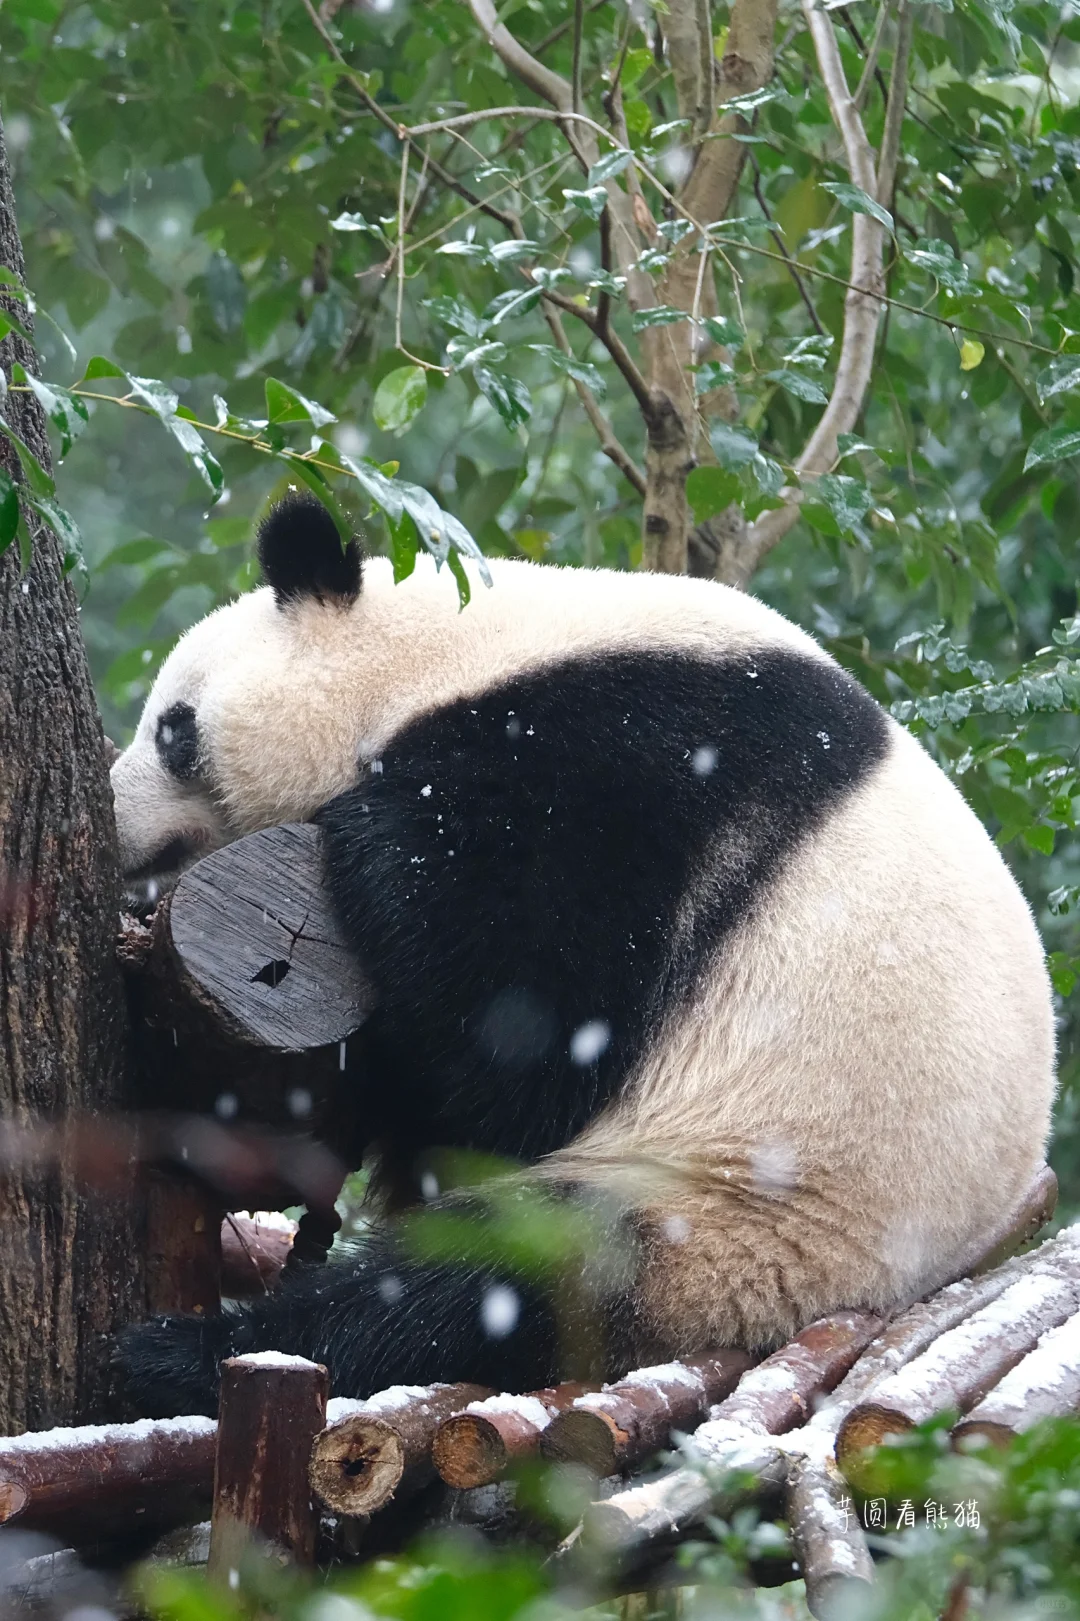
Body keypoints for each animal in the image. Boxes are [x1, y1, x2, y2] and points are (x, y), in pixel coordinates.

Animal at [111, 492, 1050, 1419]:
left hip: (727, 1209)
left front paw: (362, 824)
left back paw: (178, 1355)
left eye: (173, 730)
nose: (115, 827)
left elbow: (524, 1043)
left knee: (478, 1286)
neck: (448, 655)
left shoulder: (638, 771)